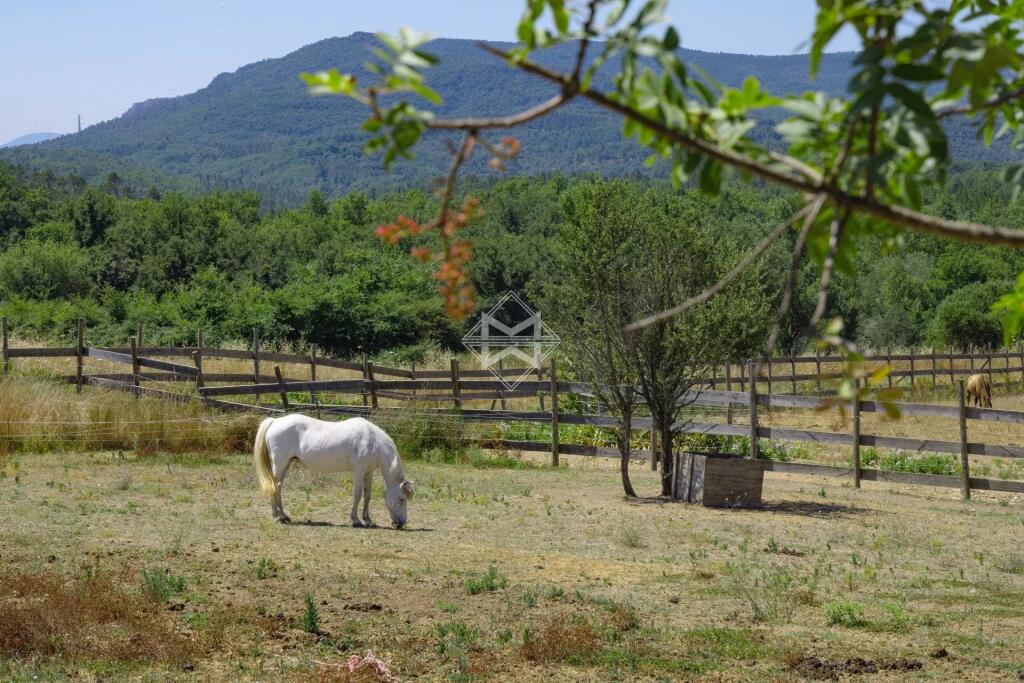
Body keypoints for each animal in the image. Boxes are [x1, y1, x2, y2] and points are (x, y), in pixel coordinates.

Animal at [252, 415, 414, 528]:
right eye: (401, 499)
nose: (401, 523)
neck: (373, 441)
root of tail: (275, 421)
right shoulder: (358, 471)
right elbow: (357, 495)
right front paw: (355, 520)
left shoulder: (369, 472)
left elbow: (367, 495)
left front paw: (368, 520)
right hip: (279, 464)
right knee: (274, 487)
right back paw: (276, 516)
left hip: (287, 464)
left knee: (278, 487)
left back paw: (284, 516)